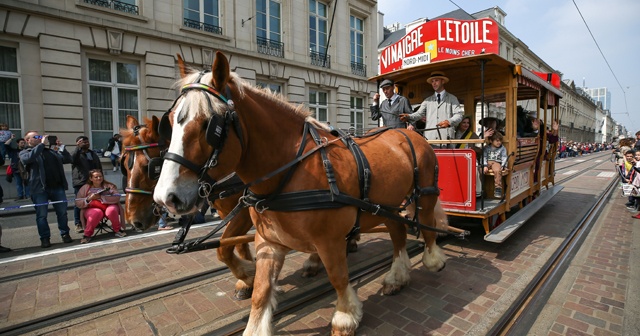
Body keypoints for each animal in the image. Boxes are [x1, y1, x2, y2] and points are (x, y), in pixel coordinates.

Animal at [153, 51, 448, 334]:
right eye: (169, 122)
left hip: (425, 195)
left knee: (427, 225)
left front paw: (345, 316)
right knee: (398, 233)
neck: (289, 170)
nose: (165, 197)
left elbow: (338, 276)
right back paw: (397, 277)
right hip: (386, 205)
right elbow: (259, 289)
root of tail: (409, 133)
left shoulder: (329, 240)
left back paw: (433, 259)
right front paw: (250, 284)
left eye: (209, 125)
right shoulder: (268, 240)